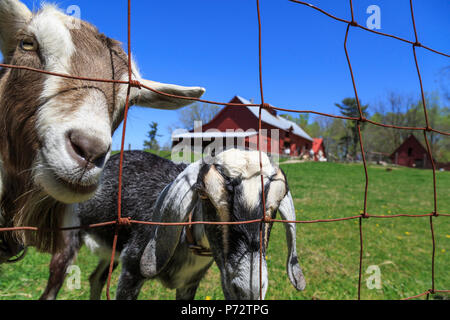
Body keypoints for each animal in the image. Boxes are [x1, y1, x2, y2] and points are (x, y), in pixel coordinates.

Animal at [41, 150, 306, 300]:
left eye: (273, 209)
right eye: (204, 195)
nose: (248, 291)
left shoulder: (190, 284)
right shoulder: (132, 269)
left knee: (95, 278)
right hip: (68, 238)